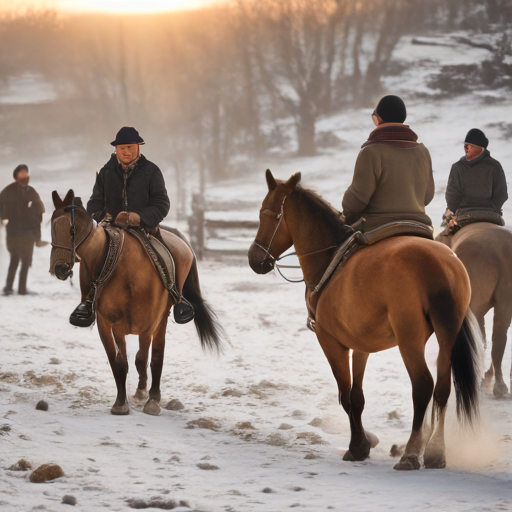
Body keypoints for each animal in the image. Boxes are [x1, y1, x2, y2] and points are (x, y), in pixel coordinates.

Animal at [50, 190, 224, 414]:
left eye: (72, 229)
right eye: (51, 227)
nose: (59, 268)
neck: (124, 269)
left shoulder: (147, 325)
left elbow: (143, 358)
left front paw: (150, 399)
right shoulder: (108, 325)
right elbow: (118, 362)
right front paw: (120, 403)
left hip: (162, 320)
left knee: (156, 355)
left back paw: (153, 397)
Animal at [250, 170, 482, 470]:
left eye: (266, 214)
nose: (254, 259)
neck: (330, 258)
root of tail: (439, 264)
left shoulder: (329, 341)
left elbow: (345, 394)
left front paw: (357, 446)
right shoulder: (361, 344)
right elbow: (357, 396)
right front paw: (362, 443)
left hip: (409, 339)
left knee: (423, 386)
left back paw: (411, 452)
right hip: (447, 335)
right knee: (442, 388)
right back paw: (435, 452)